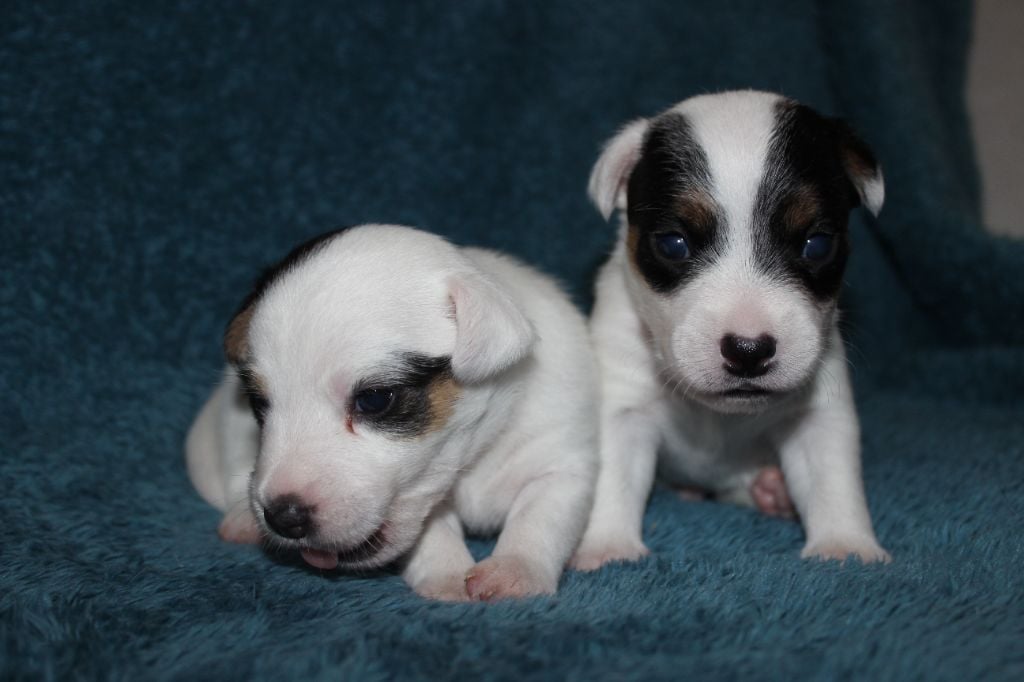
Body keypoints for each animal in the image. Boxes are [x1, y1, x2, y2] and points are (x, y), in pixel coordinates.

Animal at [188, 224, 598, 602]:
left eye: (374, 399)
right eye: (259, 403)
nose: (282, 517)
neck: (474, 455)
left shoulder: (561, 465)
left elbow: (539, 517)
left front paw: (513, 571)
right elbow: (433, 532)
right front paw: (448, 573)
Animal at [573, 90, 892, 569]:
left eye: (817, 244)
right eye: (673, 244)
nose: (748, 349)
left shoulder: (818, 412)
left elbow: (832, 477)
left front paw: (845, 546)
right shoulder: (623, 404)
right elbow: (613, 475)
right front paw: (607, 548)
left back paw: (772, 492)